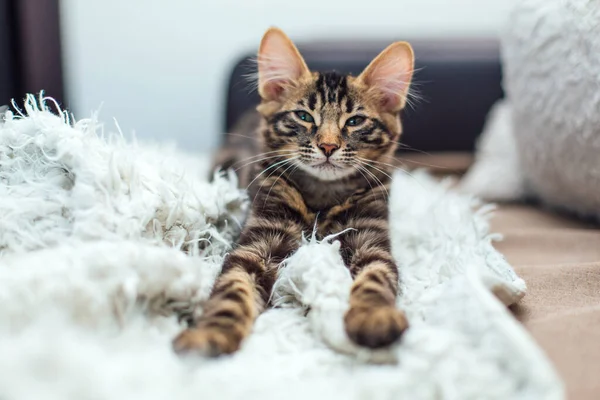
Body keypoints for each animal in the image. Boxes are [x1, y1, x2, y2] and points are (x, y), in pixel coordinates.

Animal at [173, 26, 412, 354]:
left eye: (355, 121)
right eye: (304, 116)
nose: (328, 146)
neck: (322, 195)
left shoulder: (371, 240)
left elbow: (375, 280)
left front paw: (374, 316)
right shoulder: (258, 241)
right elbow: (232, 291)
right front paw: (210, 333)